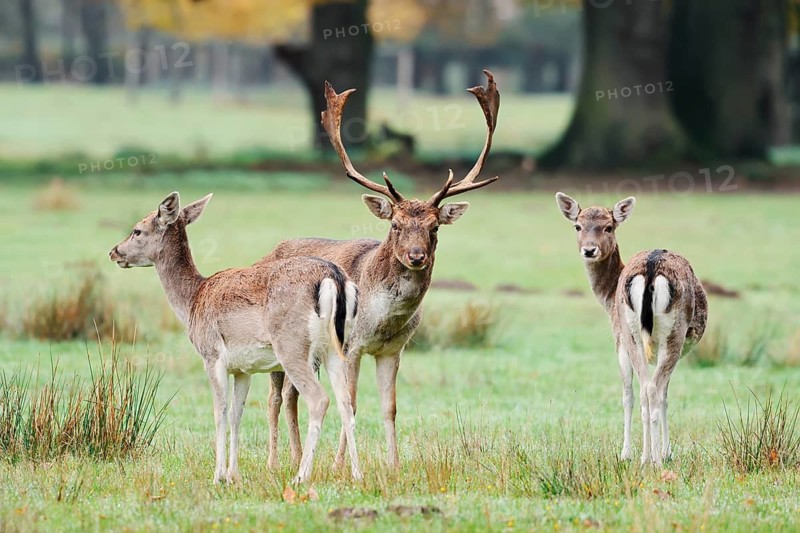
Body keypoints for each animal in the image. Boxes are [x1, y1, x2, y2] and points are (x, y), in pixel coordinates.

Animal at [108, 191, 362, 485]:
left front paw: (218, 475)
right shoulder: (243, 369)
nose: (114, 251)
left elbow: (219, 412)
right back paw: (357, 474)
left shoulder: (212, 355)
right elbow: (236, 415)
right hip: (338, 348)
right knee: (347, 403)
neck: (193, 301)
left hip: (292, 347)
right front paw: (234, 475)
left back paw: (300, 476)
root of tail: (335, 279)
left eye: (137, 230)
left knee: (319, 400)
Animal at [262, 70, 500, 471]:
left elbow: (390, 407)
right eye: (396, 225)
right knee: (276, 398)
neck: (382, 319)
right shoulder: (352, 345)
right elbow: (352, 403)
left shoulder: (394, 350)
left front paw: (394, 466)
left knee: (294, 397)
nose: (416, 256)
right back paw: (275, 462)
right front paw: (340, 466)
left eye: (435, 227)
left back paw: (296, 457)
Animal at [555, 193, 707, 466]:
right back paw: (652, 459)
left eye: (609, 227)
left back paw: (650, 458)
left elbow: (629, 394)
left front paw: (628, 452)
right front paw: (659, 452)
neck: (607, 299)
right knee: (651, 389)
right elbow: (653, 394)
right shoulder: (630, 341)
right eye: (578, 226)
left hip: (647, 334)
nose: (589, 250)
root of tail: (651, 268)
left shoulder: (619, 337)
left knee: (648, 389)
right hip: (666, 335)